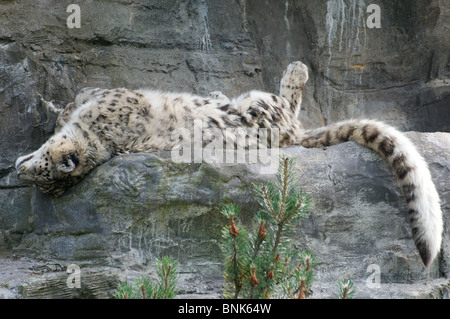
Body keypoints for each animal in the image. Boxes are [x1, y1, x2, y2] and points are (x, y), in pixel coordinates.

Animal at [15, 61, 444, 268]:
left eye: (39, 170)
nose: (17, 167)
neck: (97, 139)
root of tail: (291, 137)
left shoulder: (114, 97)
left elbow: (81, 98)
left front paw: (57, 109)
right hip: (263, 106)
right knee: (289, 103)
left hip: (258, 103)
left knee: (289, 101)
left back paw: (284, 71)